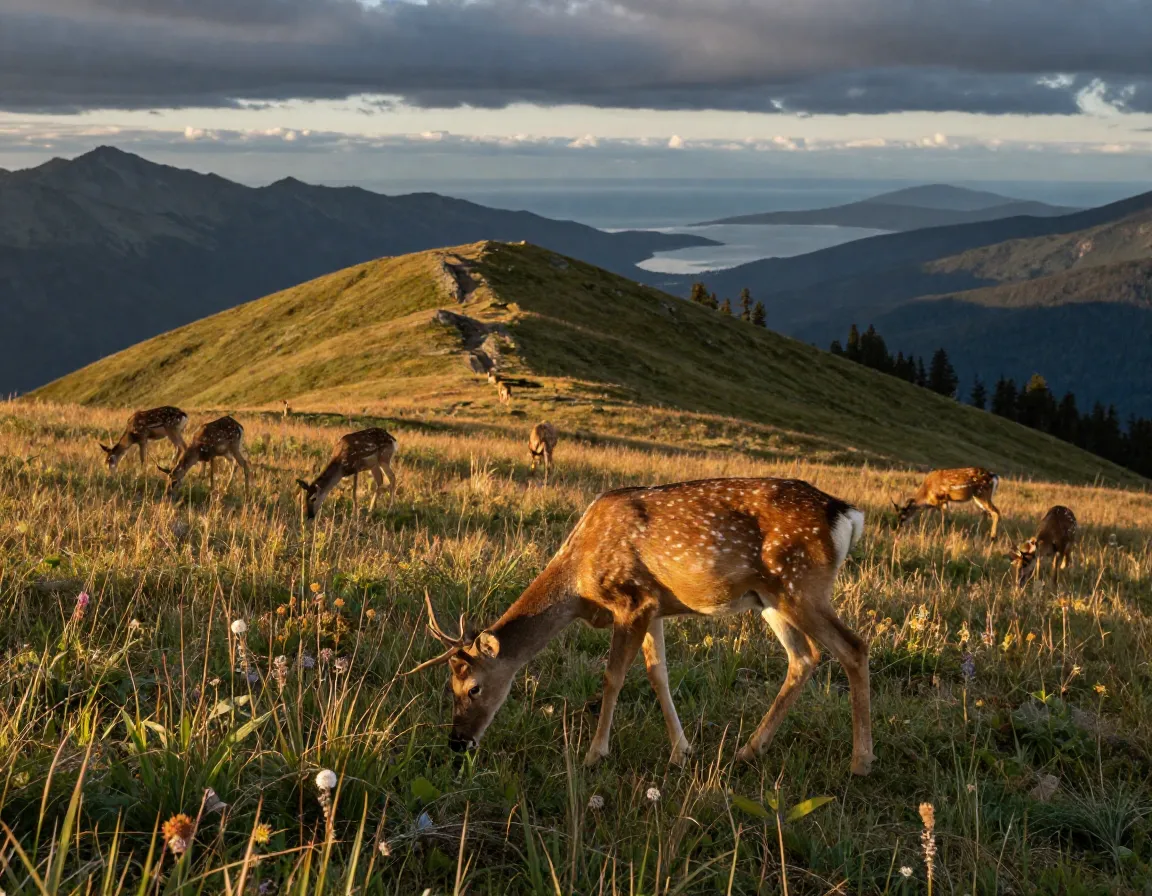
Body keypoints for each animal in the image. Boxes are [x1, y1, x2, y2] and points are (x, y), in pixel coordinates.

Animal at [407, 477, 874, 776]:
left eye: (473, 688)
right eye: (448, 686)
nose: (457, 743)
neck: (579, 585)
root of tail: (847, 514)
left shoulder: (631, 600)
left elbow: (614, 676)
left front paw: (595, 754)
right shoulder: (655, 606)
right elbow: (658, 674)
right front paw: (681, 751)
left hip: (800, 585)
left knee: (853, 647)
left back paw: (860, 762)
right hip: (772, 597)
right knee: (805, 656)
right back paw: (748, 750)